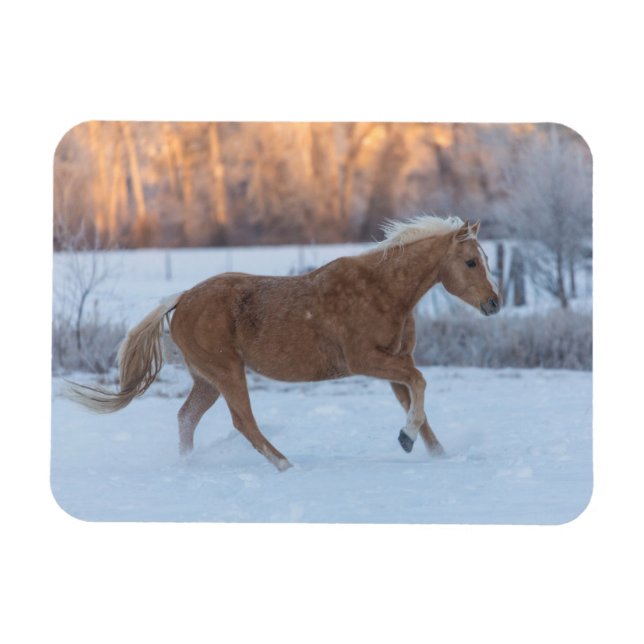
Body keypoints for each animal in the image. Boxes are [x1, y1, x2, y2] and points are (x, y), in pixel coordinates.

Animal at [66, 215, 501, 471]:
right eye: (470, 262)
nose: (494, 303)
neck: (383, 290)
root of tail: (181, 298)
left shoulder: (394, 365)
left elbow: (419, 404)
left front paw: (435, 453)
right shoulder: (366, 361)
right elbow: (421, 383)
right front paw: (406, 438)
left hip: (207, 380)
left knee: (187, 417)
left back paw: (190, 464)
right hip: (227, 372)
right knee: (243, 421)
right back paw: (285, 465)